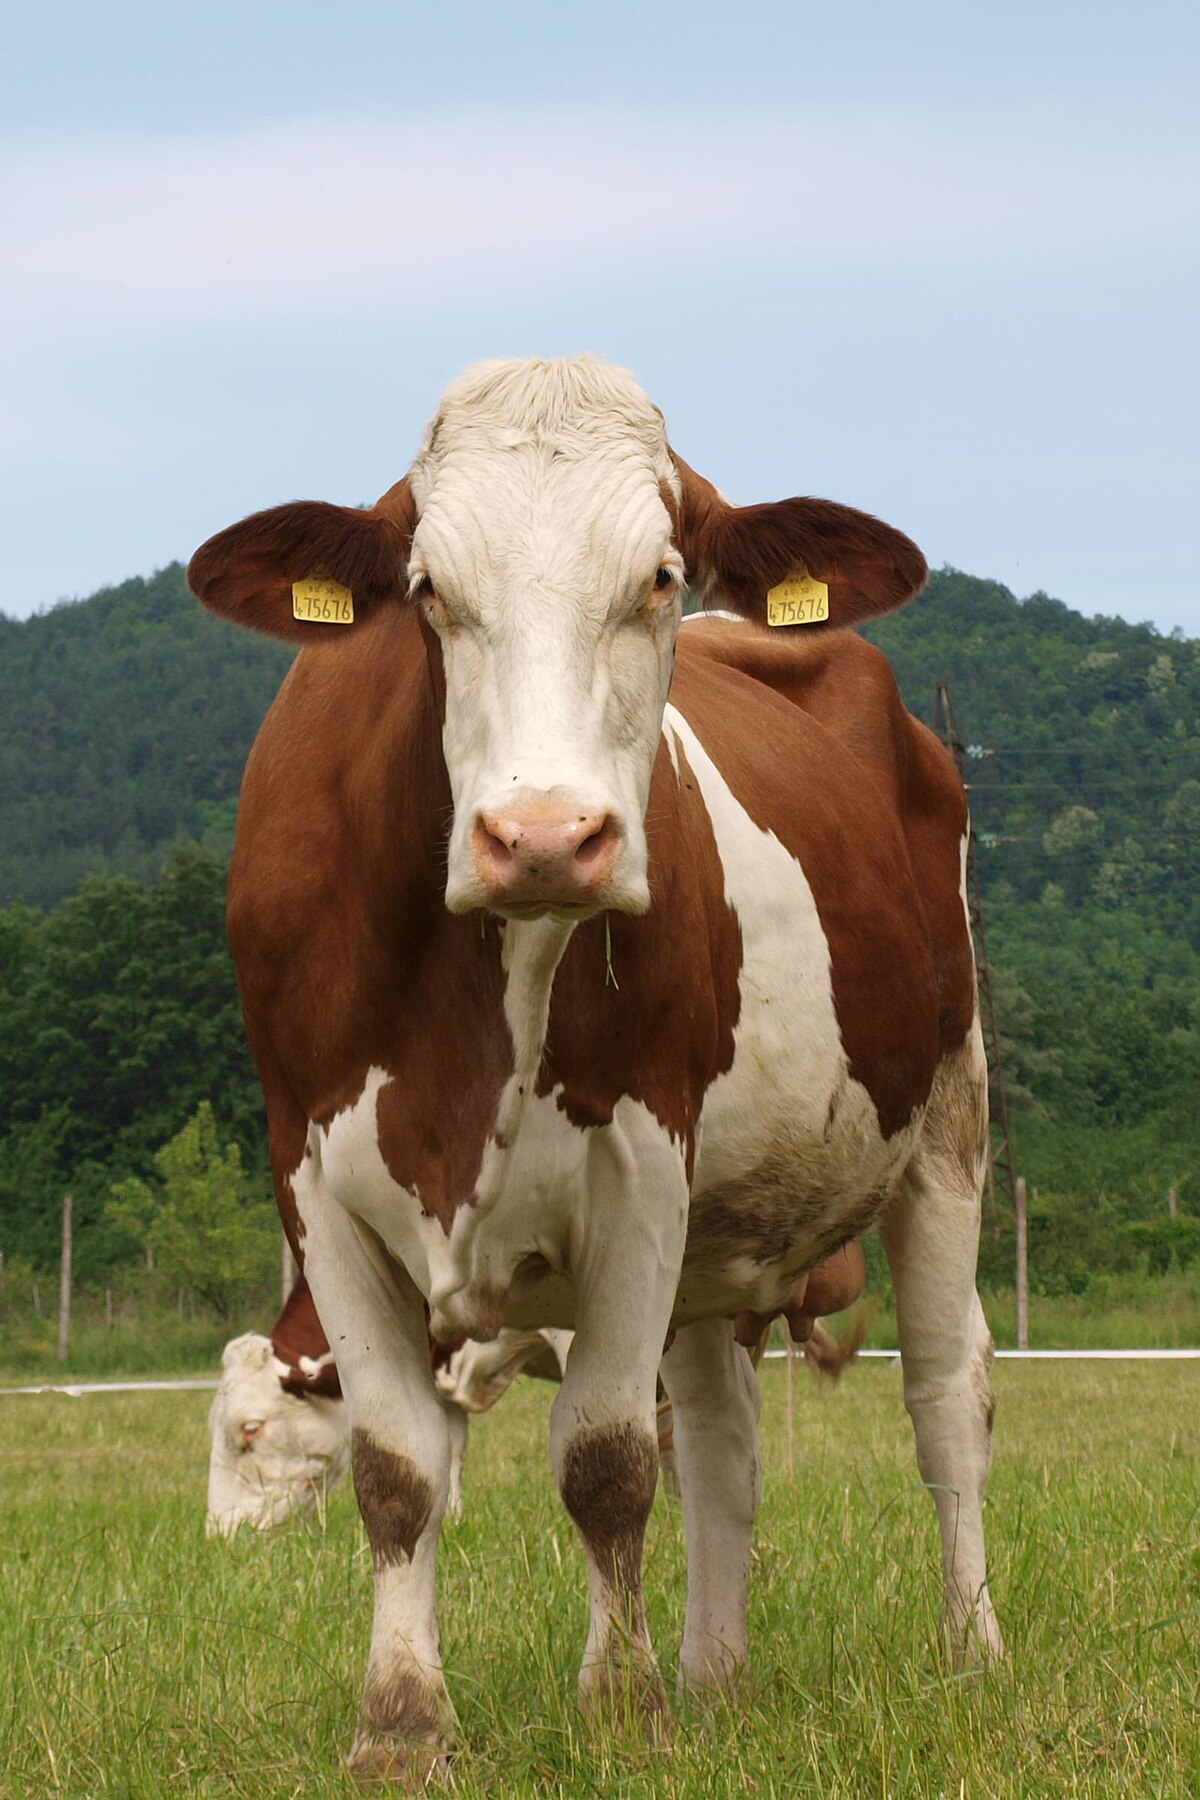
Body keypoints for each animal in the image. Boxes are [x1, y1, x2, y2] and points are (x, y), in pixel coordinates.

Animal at [189, 358, 1007, 1778]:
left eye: (663, 576)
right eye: (425, 587)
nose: (543, 836)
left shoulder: (640, 1165)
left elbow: (608, 1461)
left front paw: (620, 1712)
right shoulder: (314, 1177)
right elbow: (400, 1469)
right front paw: (401, 1726)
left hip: (946, 1124)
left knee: (946, 1395)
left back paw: (970, 1652)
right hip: (725, 1231)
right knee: (727, 1448)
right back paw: (716, 1674)